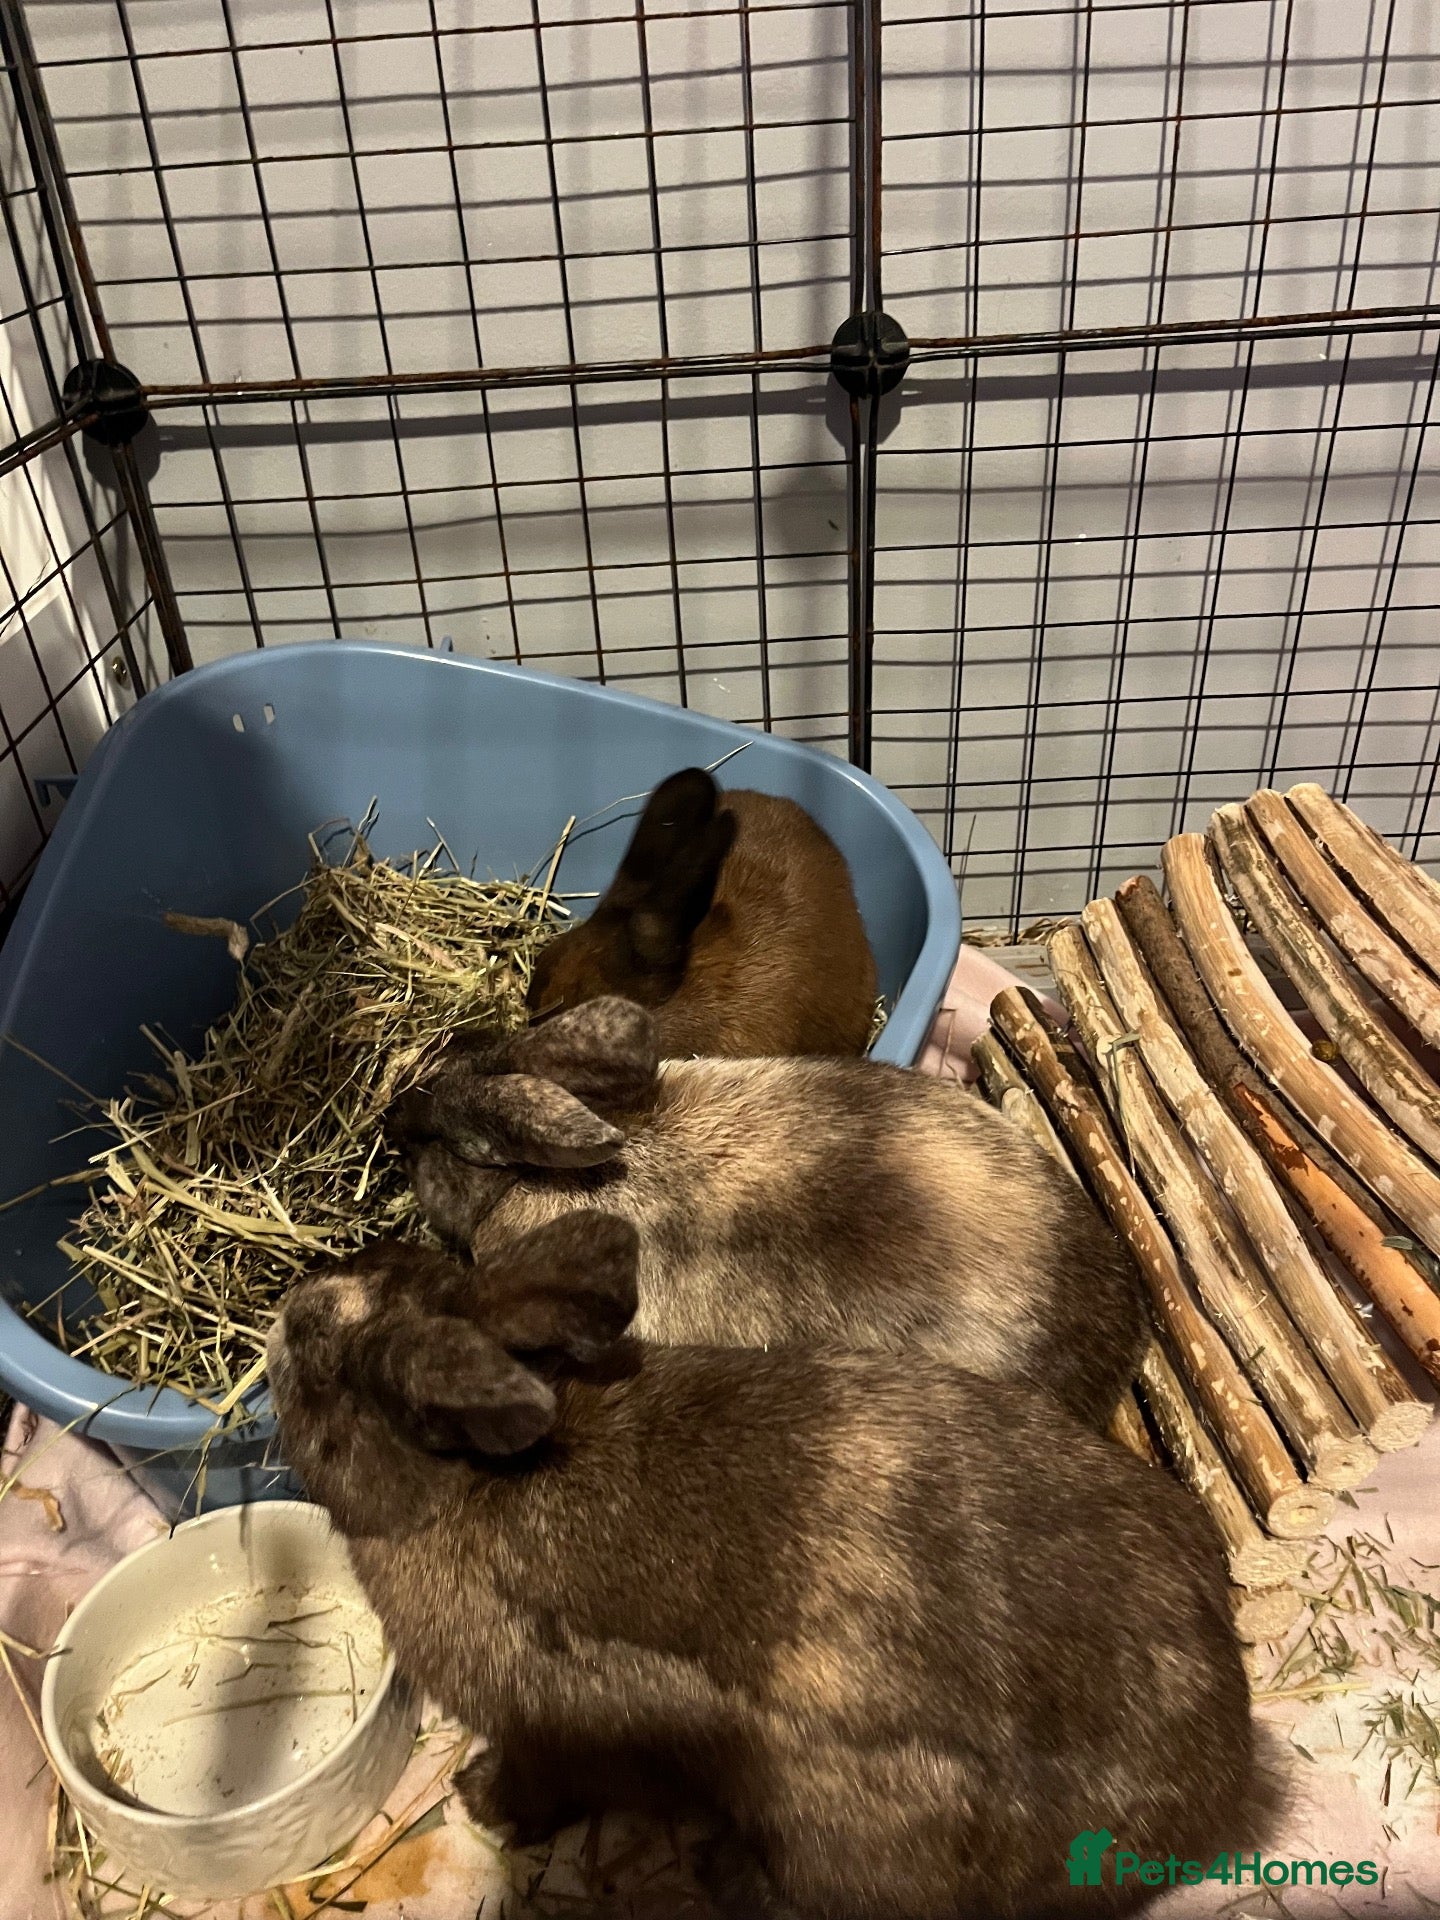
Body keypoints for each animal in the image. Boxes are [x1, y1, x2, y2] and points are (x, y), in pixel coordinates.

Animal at [267, 1216, 1276, 1920]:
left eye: (315, 1381)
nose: (286, 1310)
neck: (466, 1487)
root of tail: (1223, 1796)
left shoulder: (549, 1734)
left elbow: (542, 1783)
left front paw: (479, 1799)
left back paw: (723, 1875)